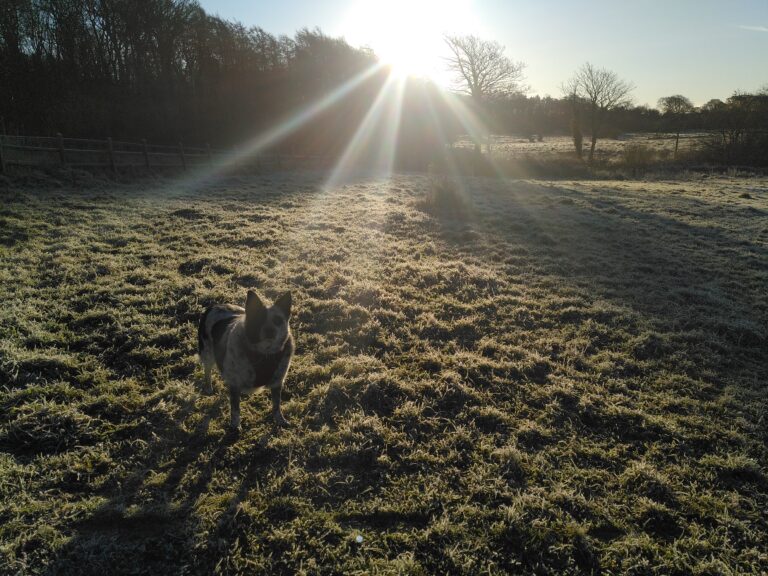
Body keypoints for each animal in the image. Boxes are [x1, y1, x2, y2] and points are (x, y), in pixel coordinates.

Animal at [198, 290, 294, 430]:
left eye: (278, 320)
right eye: (259, 319)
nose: (270, 330)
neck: (264, 354)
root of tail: (215, 305)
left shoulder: (277, 382)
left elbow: (276, 405)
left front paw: (280, 420)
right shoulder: (235, 384)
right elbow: (235, 409)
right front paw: (235, 427)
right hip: (207, 352)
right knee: (207, 370)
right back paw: (209, 387)